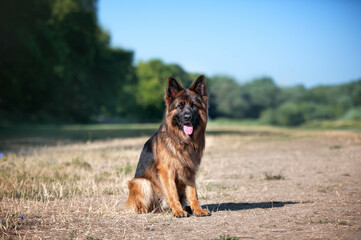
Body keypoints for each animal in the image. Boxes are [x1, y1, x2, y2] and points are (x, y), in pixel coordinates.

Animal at [125, 75, 210, 218]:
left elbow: (193, 193)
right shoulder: (167, 171)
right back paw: (144, 209)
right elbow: (172, 192)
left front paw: (197, 209)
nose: (188, 117)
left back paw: (186, 207)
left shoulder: (189, 170)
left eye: (194, 105)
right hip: (142, 182)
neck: (182, 140)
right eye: (180, 106)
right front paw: (178, 211)